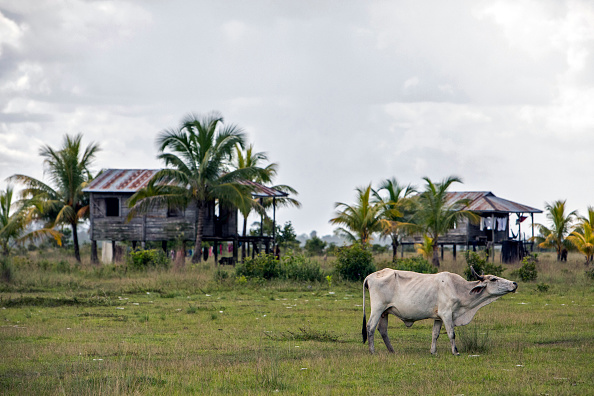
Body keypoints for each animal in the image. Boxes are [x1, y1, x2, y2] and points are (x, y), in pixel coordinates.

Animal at [360, 266, 512, 356]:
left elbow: (435, 334)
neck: (458, 289)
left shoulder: (438, 317)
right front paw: (455, 352)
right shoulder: (447, 314)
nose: (514, 284)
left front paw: (433, 351)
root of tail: (370, 276)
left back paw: (392, 351)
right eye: (493, 279)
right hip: (378, 309)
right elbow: (451, 334)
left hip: (384, 312)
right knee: (370, 327)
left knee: (382, 330)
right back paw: (372, 351)